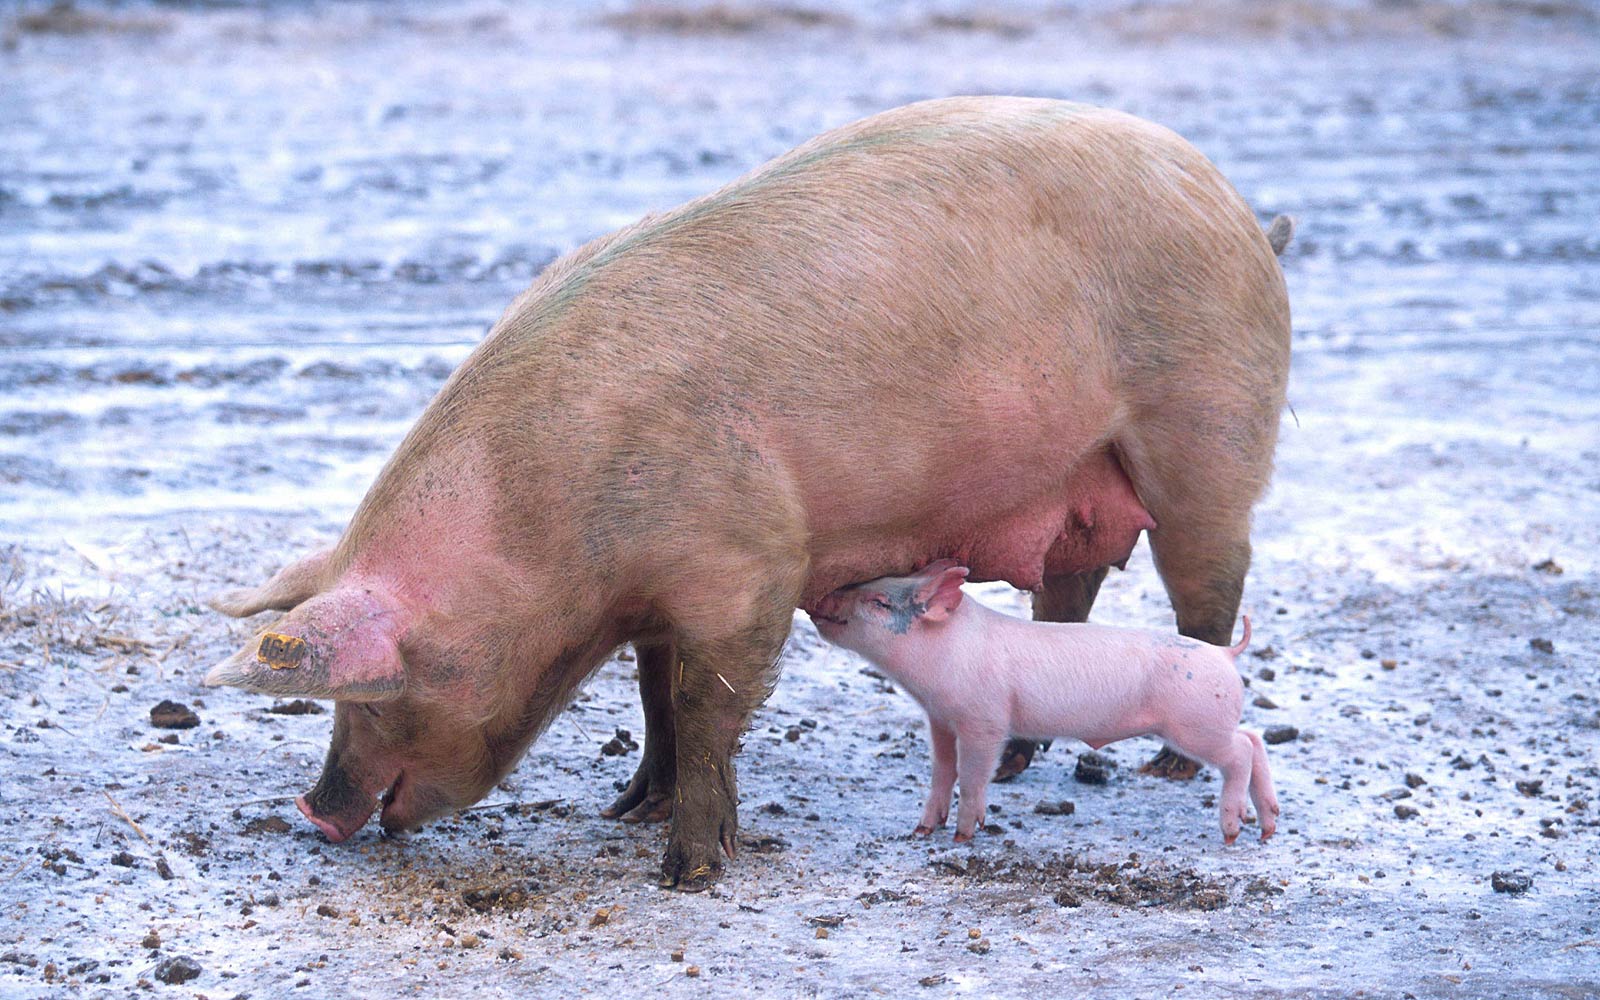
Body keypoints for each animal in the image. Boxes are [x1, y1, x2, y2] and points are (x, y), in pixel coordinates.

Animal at [810, 562, 1279, 843]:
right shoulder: (940, 718)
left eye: (879, 602)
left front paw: (964, 836)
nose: (820, 599)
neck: (945, 653)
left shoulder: (984, 719)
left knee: (1240, 752)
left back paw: (1233, 831)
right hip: (1210, 722)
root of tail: (1226, 654)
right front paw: (922, 830)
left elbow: (973, 774)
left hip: (1196, 724)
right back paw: (1266, 827)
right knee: (1254, 738)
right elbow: (942, 771)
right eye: (869, 585)